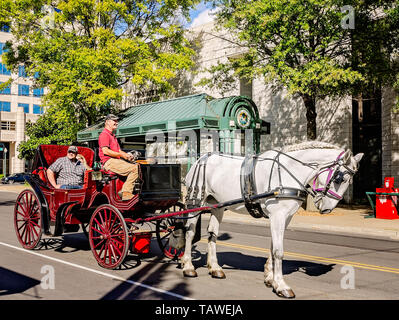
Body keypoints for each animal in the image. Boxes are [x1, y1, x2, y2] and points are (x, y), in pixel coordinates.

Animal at [183, 141, 364, 298]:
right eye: (340, 178)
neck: (288, 171)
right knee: (190, 233)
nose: (326, 208)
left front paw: (270, 278)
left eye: (349, 181)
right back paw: (188, 266)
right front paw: (281, 285)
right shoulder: (278, 215)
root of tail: (201, 158)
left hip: (218, 205)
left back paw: (215, 268)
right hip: (195, 202)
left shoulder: (285, 217)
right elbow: (278, 251)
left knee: (212, 234)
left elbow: (272, 247)